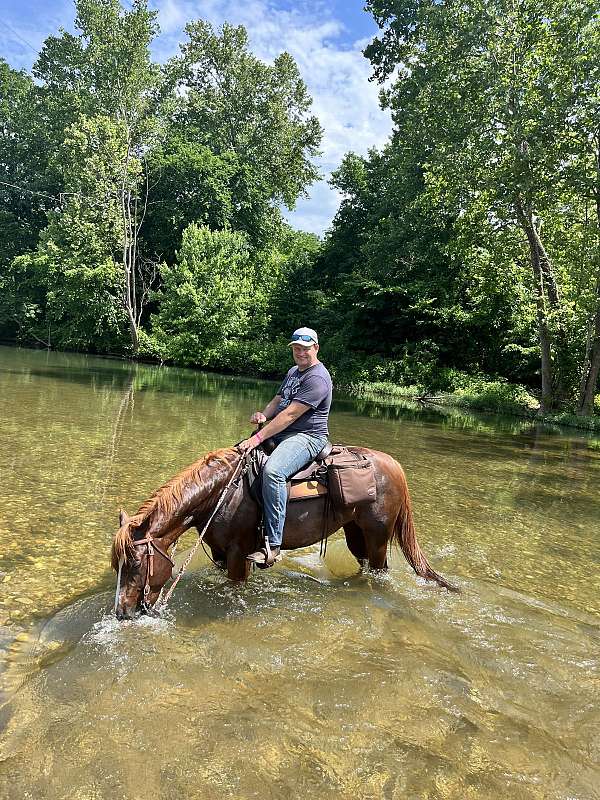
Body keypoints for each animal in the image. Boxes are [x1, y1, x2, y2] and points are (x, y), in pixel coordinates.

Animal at [111, 444, 454, 620]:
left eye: (137, 564)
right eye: (117, 566)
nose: (122, 612)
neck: (222, 493)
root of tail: (394, 465)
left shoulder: (238, 555)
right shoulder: (220, 553)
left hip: (378, 536)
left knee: (380, 571)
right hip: (355, 533)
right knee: (364, 566)